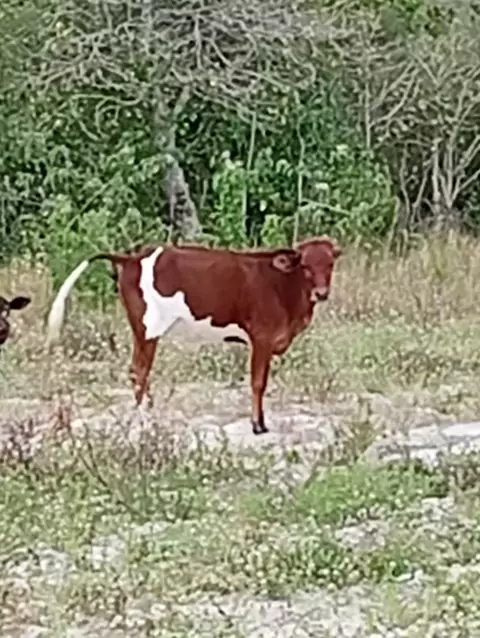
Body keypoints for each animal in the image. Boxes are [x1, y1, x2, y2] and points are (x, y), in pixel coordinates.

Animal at [45, 237, 341, 434]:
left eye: (330, 263)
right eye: (305, 265)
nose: (321, 293)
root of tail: (132, 258)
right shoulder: (262, 338)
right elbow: (258, 382)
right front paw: (258, 425)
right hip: (147, 328)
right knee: (138, 371)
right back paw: (147, 420)